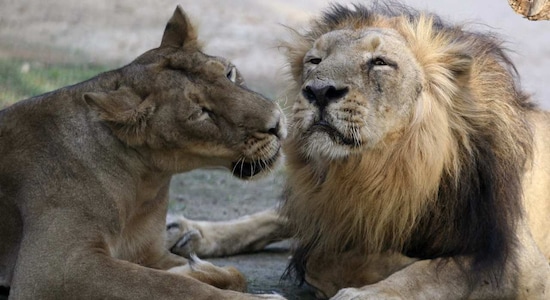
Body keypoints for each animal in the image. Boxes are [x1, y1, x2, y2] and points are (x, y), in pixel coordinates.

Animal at [0, 5, 286, 300]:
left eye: (229, 74)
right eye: (200, 113)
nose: (277, 123)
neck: (147, 184)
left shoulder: (148, 252)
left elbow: (233, 274)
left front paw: (194, 266)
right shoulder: (55, 269)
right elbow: (170, 286)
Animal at [168, 2, 550, 300]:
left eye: (380, 62)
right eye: (315, 60)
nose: (319, 91)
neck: (382, 167)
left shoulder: (515, 260)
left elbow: (432, 272)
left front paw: (369, 287)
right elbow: (320, 250)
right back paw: (190, 232)